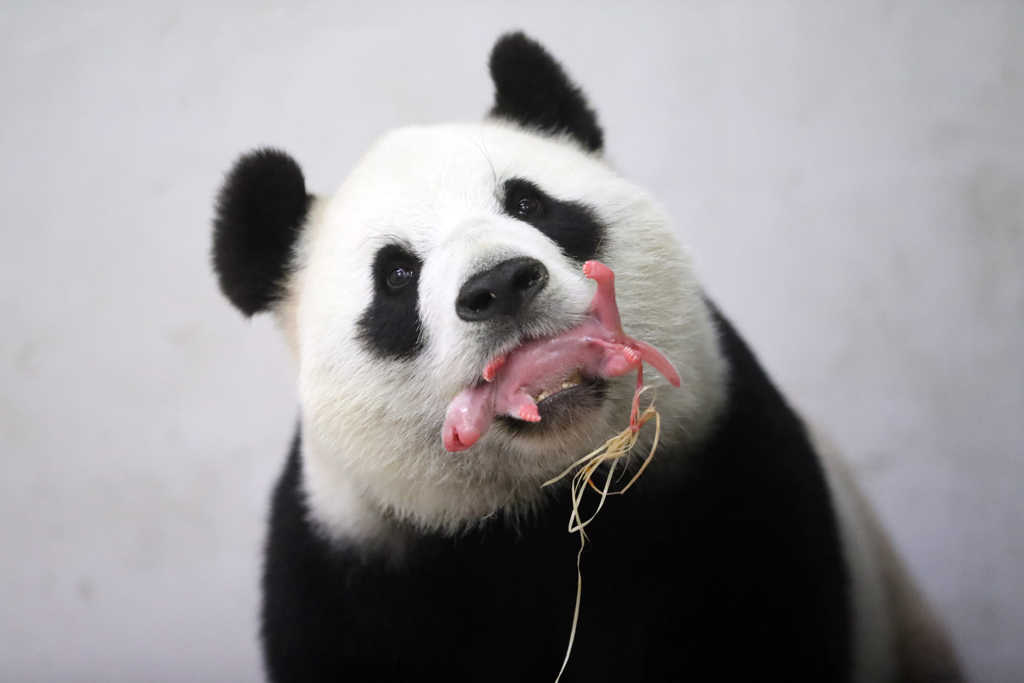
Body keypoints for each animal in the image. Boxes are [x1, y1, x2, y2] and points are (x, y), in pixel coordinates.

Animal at [211, 29, 962, 679]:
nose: (500, 285)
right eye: (395, 274)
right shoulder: (352, 563)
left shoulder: (729, 470)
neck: (544, 504)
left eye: (527, 203)